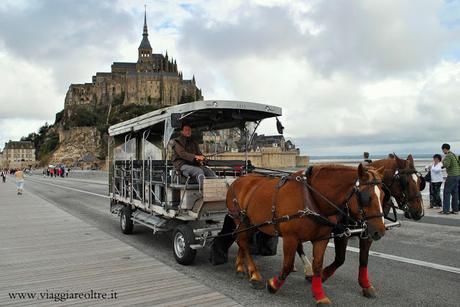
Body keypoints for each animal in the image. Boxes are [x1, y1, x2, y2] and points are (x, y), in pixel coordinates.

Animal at [228, 165, 386, 304]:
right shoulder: (290, 238)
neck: (311, 197)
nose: (380, 231)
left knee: (241, 241)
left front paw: (320, 294)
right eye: (366, 197)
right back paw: (254, 275)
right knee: (243, 242)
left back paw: (240, 267)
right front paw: (273, 284)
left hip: (253, 224)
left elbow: (318, 265)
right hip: (241, 220)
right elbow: (287, 265)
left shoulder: (321, 238)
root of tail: (237, 180)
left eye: (383, 195)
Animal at [300, 154, 426, 298]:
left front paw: (365, 285)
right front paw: (322, 275)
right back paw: (308, 269)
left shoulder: (369, 233)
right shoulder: (342, 233)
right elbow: (340, 259)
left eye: (419, 181)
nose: (419, 212)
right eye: (405, 182)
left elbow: (364, 259)